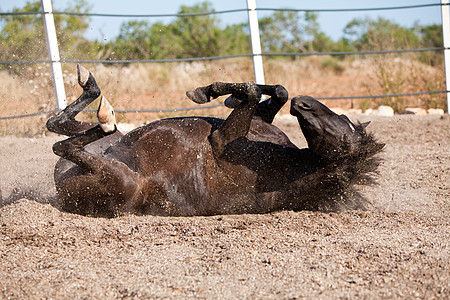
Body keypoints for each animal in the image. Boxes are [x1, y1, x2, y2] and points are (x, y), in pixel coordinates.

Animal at [45, 65, 384, 217]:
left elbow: (250, 91)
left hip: (122, 181)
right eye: (344, 119)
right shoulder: (260, 122)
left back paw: (102, 111)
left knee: (65, 143)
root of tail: (61, 192)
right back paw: (91, 86)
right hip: (113, 145)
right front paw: (220, 95)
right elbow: (273, 91)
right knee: (57, 125)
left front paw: (208, 91)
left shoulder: (221, 139)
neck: (291, 164)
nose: (305, 103)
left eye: (344, 137)